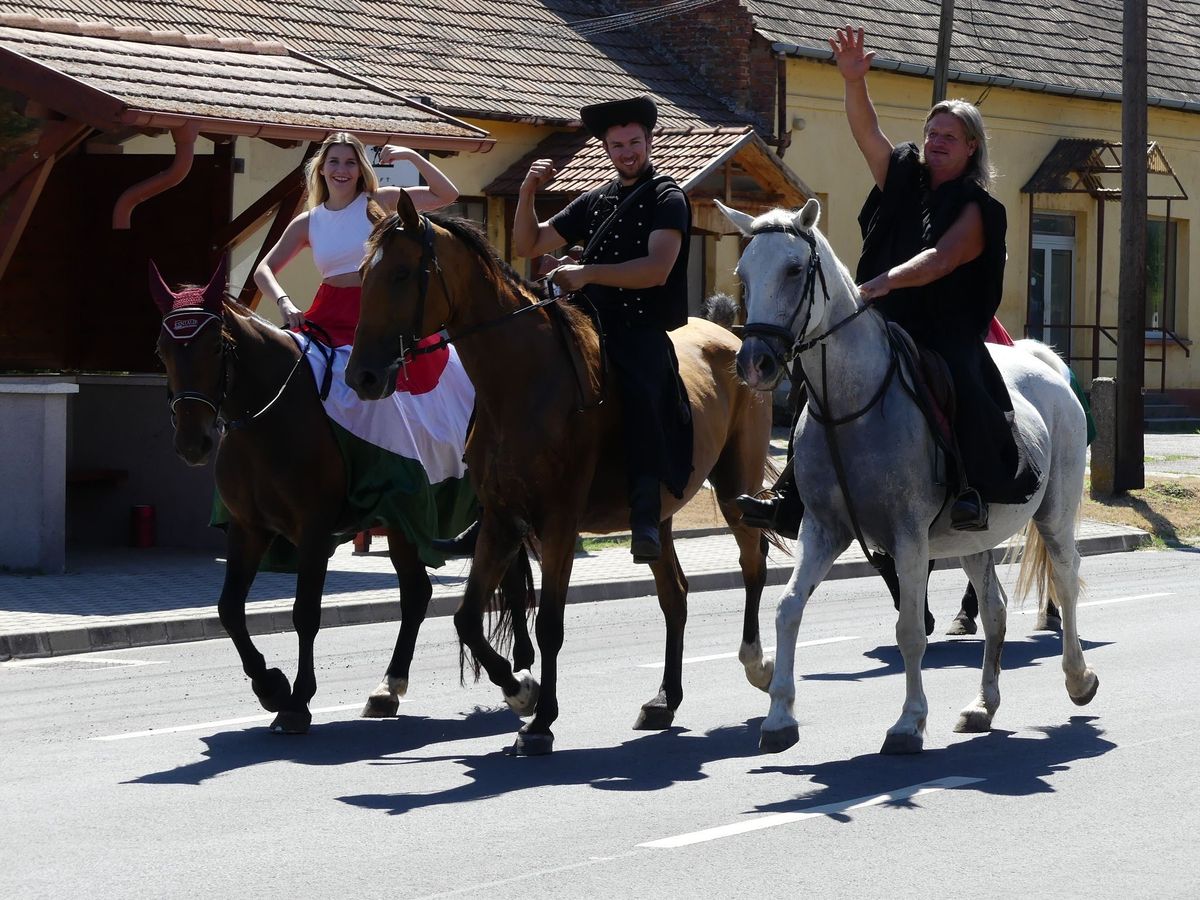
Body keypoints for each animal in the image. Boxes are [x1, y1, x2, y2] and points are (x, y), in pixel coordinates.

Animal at [147, 259, 532, 734]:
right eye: (162, 350)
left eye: (217, 347)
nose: (192, 443)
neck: (269, 417)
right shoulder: (246, 529)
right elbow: (229, 610)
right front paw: (270, 686)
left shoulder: (313, 532)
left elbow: (305, 613)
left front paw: (296, 701)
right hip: (403, 521)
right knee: (418, 594)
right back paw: (390, 688)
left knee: (509, 580)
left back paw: (520, 668)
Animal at [345, 194, 777, 758]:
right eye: (362, 274)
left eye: (399, 273)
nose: (362, 376)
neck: (522, 382)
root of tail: (731, 337)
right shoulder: (502, 520)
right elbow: (466, 616)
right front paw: (521, 691)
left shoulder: (559, 523)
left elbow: (549, 622)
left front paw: (541, 719)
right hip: (657, 516)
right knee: (676, 595)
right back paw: (665, 700)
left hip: (735, 487)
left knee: (753, 564)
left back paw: (757, 663)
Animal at [710, 200, 1099, 758]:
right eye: (743, 275)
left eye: (793, 269)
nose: (755, 363)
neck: (852, 407)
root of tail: (1045, 366)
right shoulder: (822, 530)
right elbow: (787, 609)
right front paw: (779, 715)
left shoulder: (909, 539)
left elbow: (911, 630)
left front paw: (908, 723)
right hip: (972, 538)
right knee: (996, 610)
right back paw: (983, 705)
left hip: (1055, 514)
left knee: (1065, 581)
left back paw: (1078, 678)